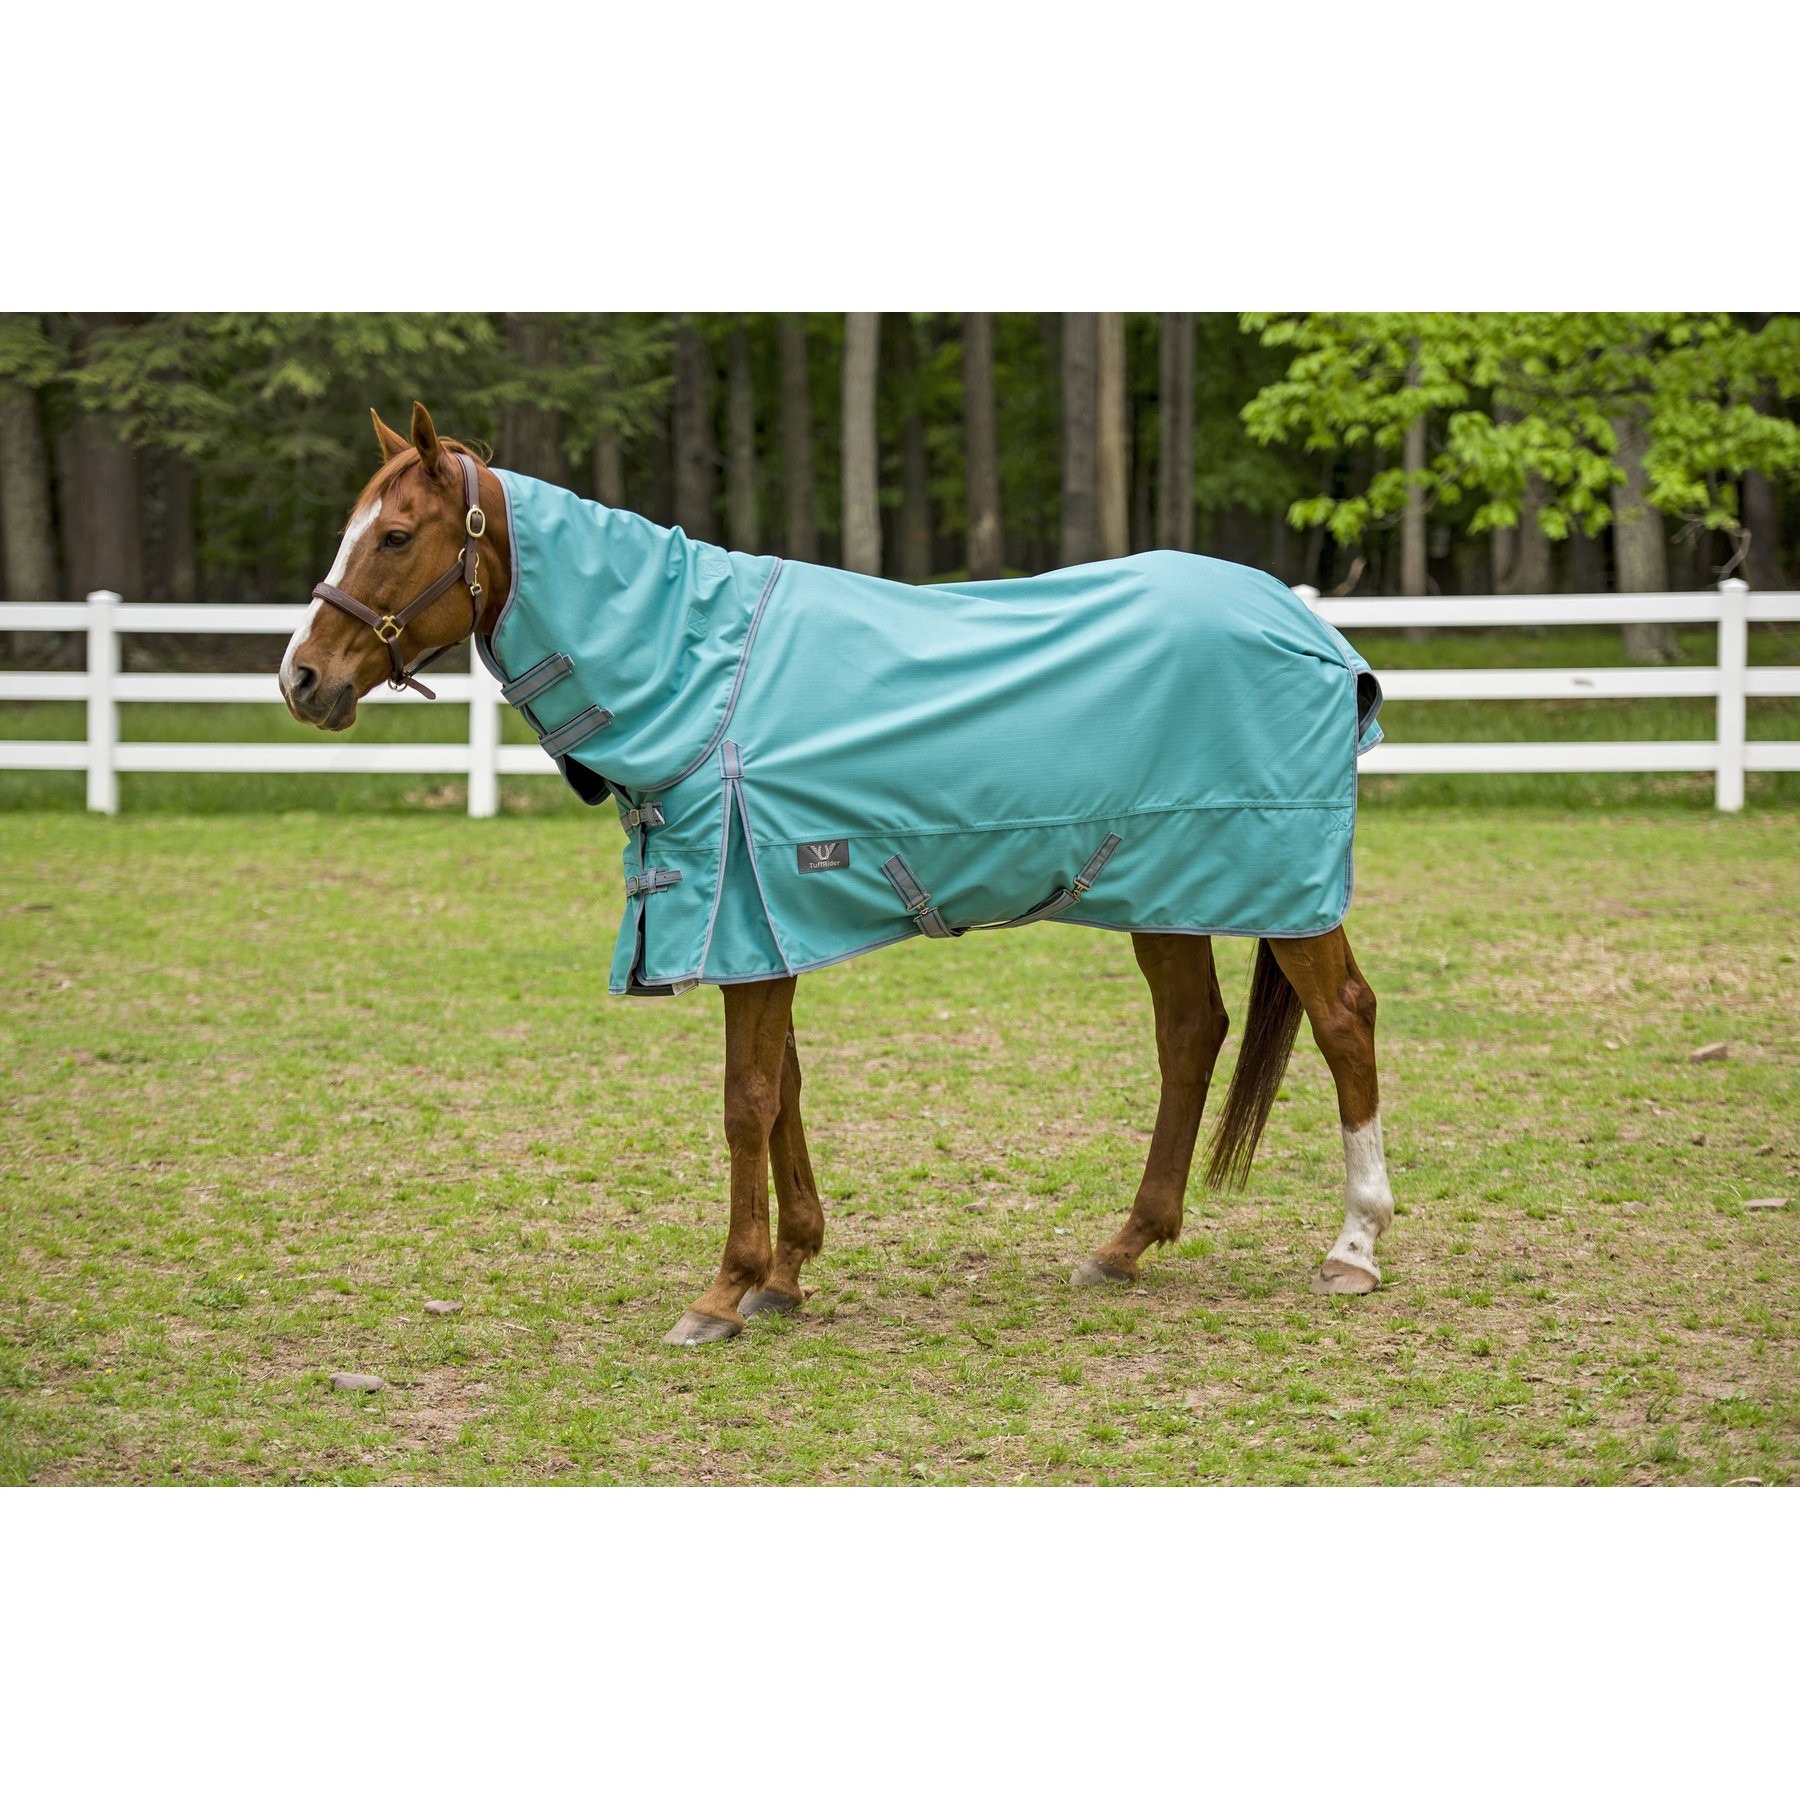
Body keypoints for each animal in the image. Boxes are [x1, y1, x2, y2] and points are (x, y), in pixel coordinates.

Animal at [279, 403, 1398, 1346]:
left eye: (395, 535)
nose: (301, 678)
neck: (700, 676)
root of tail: (1314, 632)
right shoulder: (764, 926)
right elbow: (785, 1092)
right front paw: (785, 1275)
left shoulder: (743, 914)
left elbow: (746, 1099)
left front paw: (723, 1292)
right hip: (1158, 886)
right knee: (1189, 1033)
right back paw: (1126, 1246)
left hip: (1285, 894)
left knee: (1342, 1018)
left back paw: (1353, 1248)